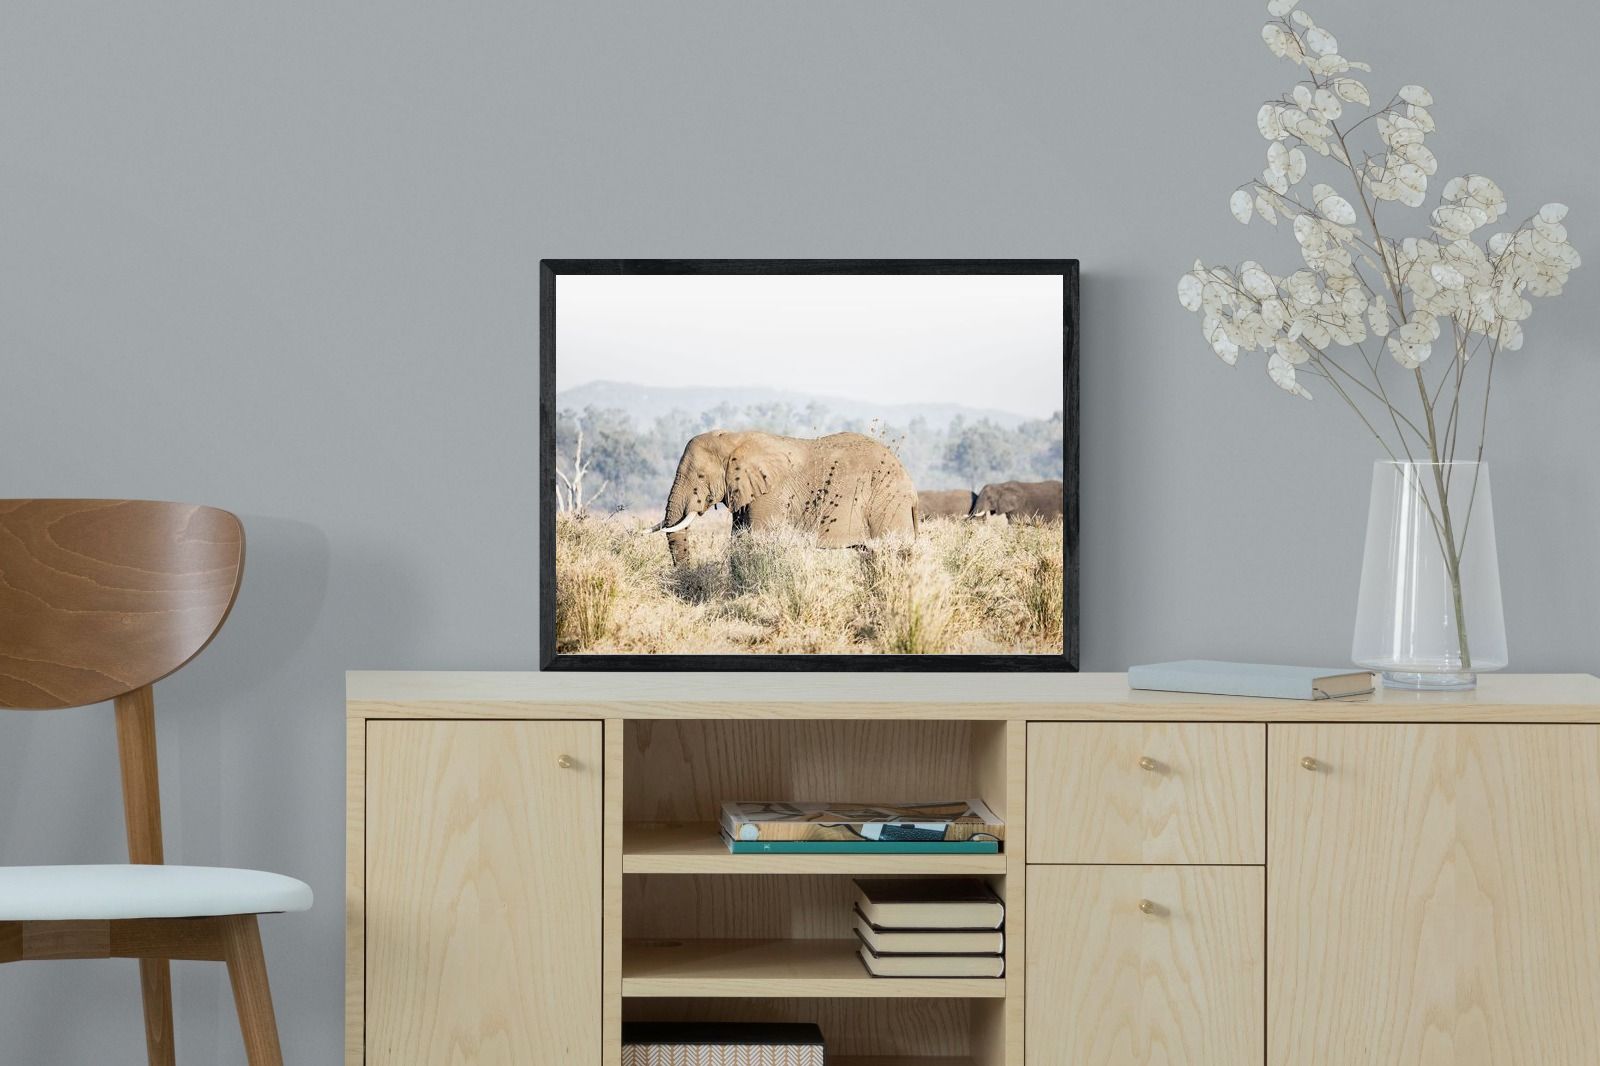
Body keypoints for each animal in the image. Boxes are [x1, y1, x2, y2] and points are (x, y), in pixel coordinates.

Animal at [651, 429, 918, 566]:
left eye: (700, 475)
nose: (687, 583)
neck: (734, 438)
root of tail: (911, 487)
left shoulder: (771, 494)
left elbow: (757, 539)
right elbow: (739, 539)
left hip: (887, 503)